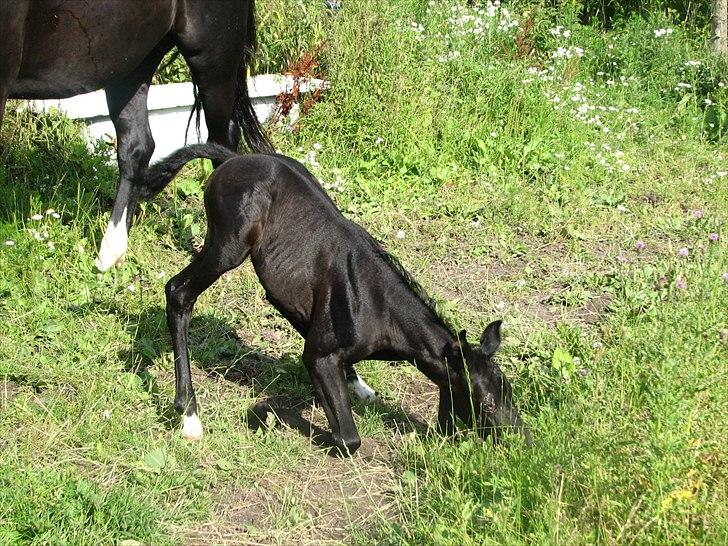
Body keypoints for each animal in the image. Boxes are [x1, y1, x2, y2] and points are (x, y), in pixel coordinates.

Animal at [145, 141, 528, 450]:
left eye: (509, 392)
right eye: (486, 403)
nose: (521, 440)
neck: (383, 310)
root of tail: (230, 159)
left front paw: (358, 388)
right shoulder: (319, 355)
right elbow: (348, 439)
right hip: (227, 247)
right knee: (178, 292)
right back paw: (189, 414)